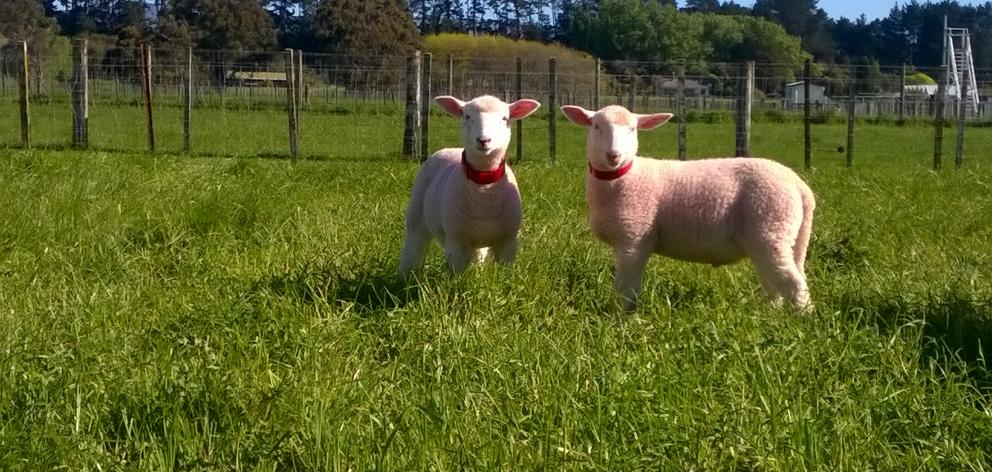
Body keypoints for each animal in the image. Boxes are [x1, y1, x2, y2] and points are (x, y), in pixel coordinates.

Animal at [398, 94, 544, 278]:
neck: (484, 192)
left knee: (477, 257)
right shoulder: (456, 242)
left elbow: (505, 272)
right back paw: (406, 275)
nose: (483, 140)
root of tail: (449, 149)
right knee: (414, 244)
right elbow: (457, 274)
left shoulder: (509, 242)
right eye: (467, 116)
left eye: (505, 118)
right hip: (417, 211)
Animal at [560, 104, 816, 310]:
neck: (624, 177)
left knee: (794, 284)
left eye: (632, 129)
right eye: (596, 126)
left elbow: (626, 288)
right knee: (777, 283)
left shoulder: (634, 238)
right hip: (777, 237)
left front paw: (620, 317)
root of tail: (801, 187)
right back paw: (772, 315)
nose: (614, 155)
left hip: (771, 228)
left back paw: (802, 320)